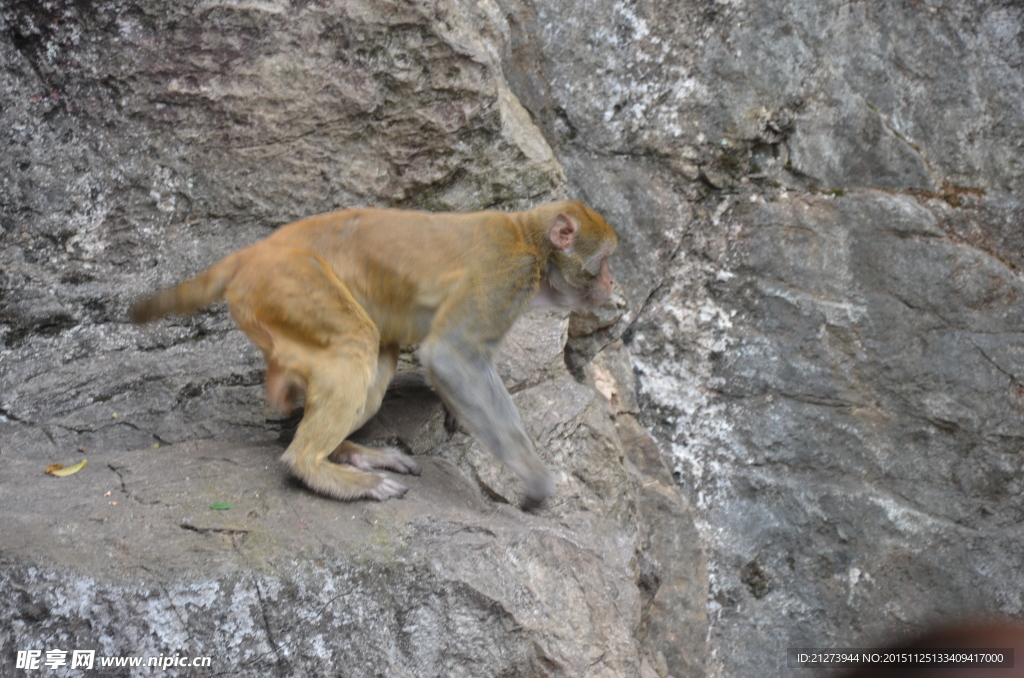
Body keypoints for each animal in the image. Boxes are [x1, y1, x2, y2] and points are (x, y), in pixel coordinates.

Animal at [132, 201, 618, 510]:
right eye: (605, 261)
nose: (613, 283)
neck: (528, 238)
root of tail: (255, 251)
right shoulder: (508, 276)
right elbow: (450, 356)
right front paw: (533, 478)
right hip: (287, 281)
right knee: (357, 341)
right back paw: (313, 466)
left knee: (376, 356)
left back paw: (347, 451)